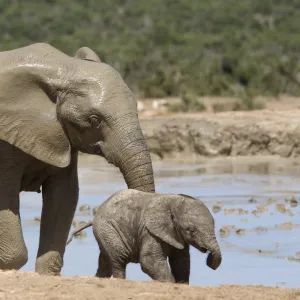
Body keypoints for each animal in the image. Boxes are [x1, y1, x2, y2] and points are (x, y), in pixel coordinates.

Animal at [67, 190, 220, 284]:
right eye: (192, 230)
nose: (208, 259)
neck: (173, 201)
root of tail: (94, 217)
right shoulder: (149, 232)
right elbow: (149, 260)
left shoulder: (176, 235)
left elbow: (181, 262)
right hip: (108, 229)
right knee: (118, 260)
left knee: (105, 261)